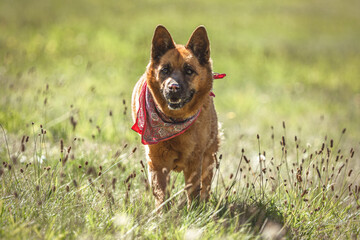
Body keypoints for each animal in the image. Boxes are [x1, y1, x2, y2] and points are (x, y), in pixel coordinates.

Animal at [130, 24, 218, 208]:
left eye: (189, 70)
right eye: (165, 70)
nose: (173, 87)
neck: (175, 120)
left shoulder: (195, 160)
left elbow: (193, 191)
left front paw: (194, 211)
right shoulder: (157, 163)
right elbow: (161, 194)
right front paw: (163, 213)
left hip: (209, 157)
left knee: (206, 186)